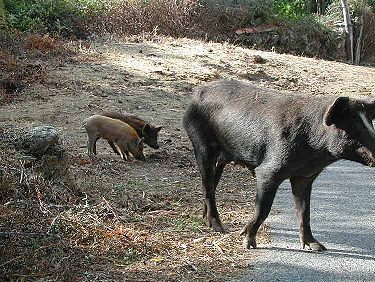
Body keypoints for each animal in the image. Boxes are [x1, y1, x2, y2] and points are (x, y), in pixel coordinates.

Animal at [184, 79, 375, 251]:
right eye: (351, 126)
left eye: (370, 123)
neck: (314, 152)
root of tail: (196, 94)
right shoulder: (268, 171)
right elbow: (263, 208)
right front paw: (247, 241)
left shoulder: (305, 176)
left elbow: (305, 212)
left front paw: (317, 247)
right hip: (201, 144)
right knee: (207, 186)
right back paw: (219, 228)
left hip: (220, 158)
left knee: (211, 185)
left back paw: (207, 221)